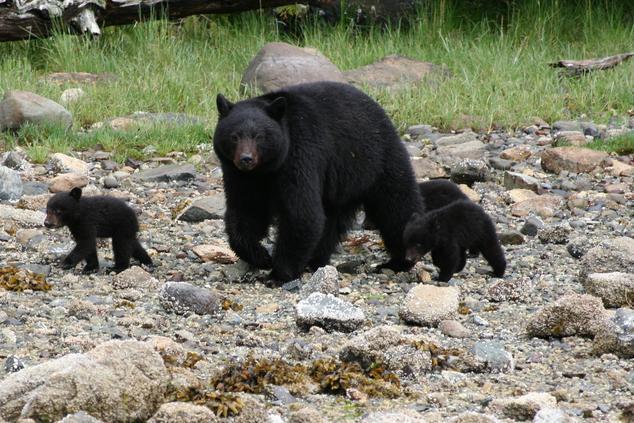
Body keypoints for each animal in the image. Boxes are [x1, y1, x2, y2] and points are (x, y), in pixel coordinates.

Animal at [210, 81, 422, 284]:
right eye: (234, 136)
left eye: (259, 136)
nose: (246, 159)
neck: (266, 170)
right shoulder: (240, 175)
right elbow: (246, 211)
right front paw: (261, 257)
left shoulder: (300, 154)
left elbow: (301, 214)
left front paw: (277, 275)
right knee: (331, 220)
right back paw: (316, 261)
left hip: (377, 160)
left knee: (397, 208)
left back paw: (398, 261)